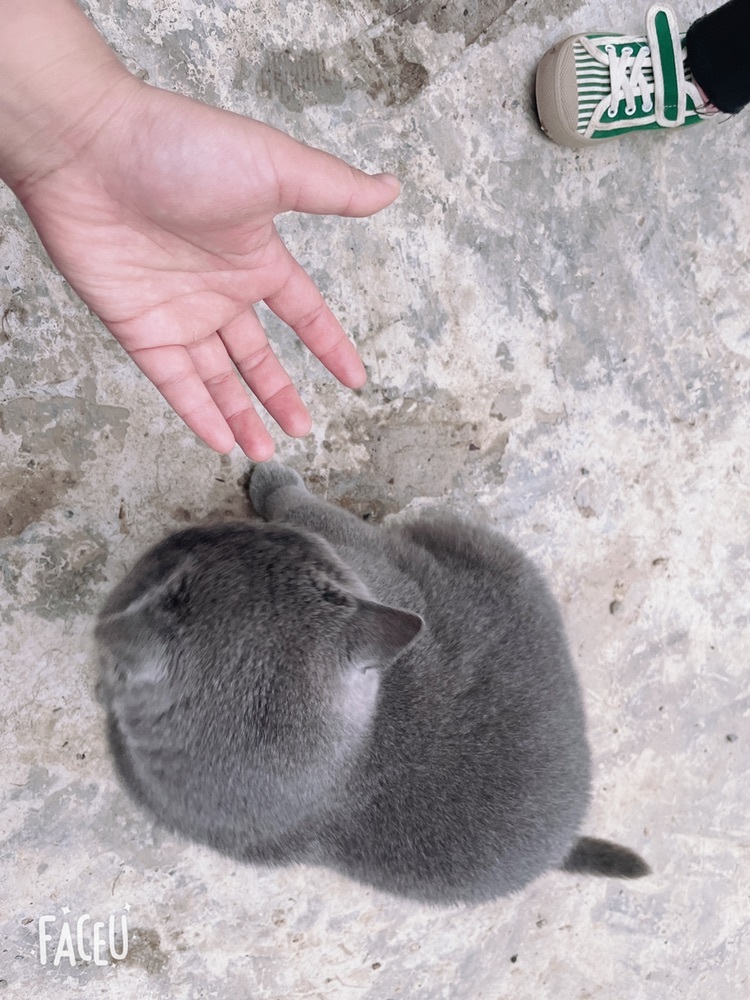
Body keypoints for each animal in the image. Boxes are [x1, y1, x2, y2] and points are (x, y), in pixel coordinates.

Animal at [97, 464, 648, 904]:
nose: (192, 532)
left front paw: (274, 479)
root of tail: (561, 849)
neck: (355, 765)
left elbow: (314, 510)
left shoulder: (367, 557)